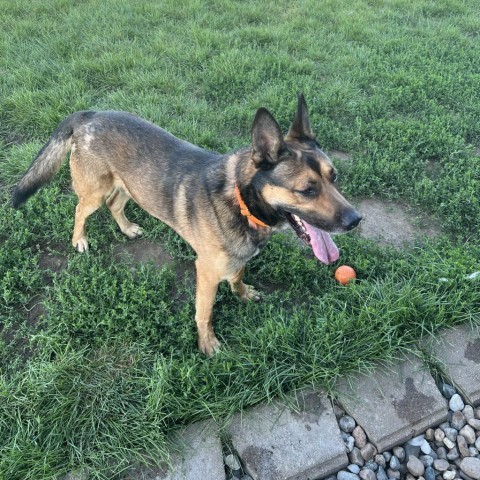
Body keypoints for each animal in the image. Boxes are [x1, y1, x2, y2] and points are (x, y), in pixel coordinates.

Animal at [13, 94, 362, 356]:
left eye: (334, 177)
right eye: (307, 190)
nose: (356, 220)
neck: (241, 201)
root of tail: (90, 114)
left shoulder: (236, 259)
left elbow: (238, 276)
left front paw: (242, 293)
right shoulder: (205, 272)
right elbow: (204, 312)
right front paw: (207, 344)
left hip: (131, 187)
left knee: (115, 206)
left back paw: (127, 228)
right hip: (94, 192)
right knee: (80, 211)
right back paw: (80, 239)